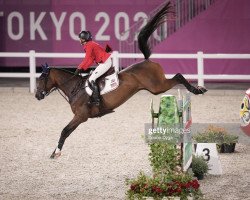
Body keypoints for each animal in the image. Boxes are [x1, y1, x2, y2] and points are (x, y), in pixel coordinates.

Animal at [35, 0, 207, 159]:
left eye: (41, 80)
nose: (37, 96)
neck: (74, 88)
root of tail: (147, 61)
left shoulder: (80, 117)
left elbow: (64, 131)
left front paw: (56, 152)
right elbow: (65, 131)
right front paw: (54, 151)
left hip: (158, 87)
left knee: (178, 76)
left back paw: (198, 89)